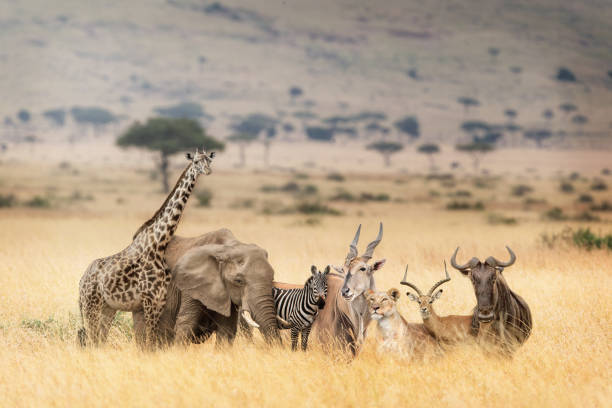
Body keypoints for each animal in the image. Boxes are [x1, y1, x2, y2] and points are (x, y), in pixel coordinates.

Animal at [77, 148, 215, 350]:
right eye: (196, 161)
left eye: (209, 161)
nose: (207, 171)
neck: (159, 244)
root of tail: (81, 281)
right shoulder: (150, 301)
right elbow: (150, 340)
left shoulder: (159, 301)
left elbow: (152, 339)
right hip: (90, 305)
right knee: (90, 339)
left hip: (106, 308)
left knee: (98, 339)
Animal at [133, 228, 280, 346]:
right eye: (238, 281)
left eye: (272, 279)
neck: (228, 248)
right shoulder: (191, 284)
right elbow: (186, 325)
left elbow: (227, 330)